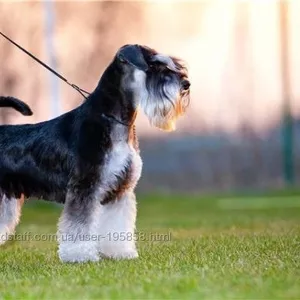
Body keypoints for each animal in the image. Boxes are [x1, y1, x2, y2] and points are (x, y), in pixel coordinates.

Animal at [0, 44, 190, 262]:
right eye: (154, 65)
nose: (186, 84)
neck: (112, 120)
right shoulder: (85, 186)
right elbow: (79, 225)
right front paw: (80, 255)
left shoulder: (120, 190)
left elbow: (118, 224)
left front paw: (121, 252)